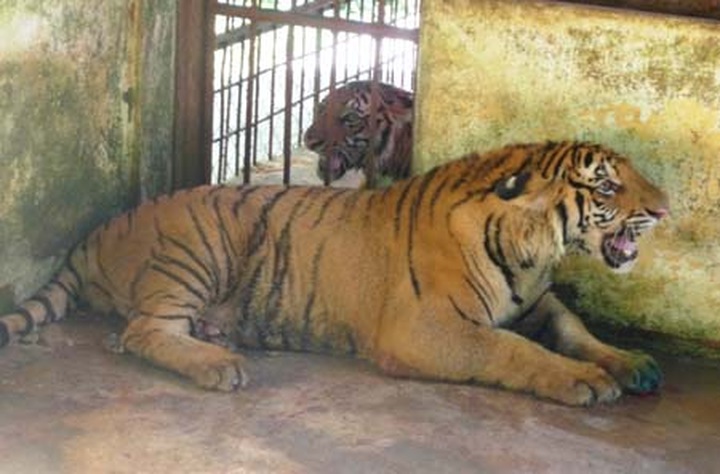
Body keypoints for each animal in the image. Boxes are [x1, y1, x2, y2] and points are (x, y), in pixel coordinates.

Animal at [0, 141, 669, 406]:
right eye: (607, 186)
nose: (665, 209)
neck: (533, 252)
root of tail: (96, 232)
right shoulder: (426, 329)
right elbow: (512, 350)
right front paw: (584, 381)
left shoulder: (536, 303)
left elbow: (572, 326)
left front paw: (631, 363)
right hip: (200, 247)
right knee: (140, 332)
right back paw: (219, 365)